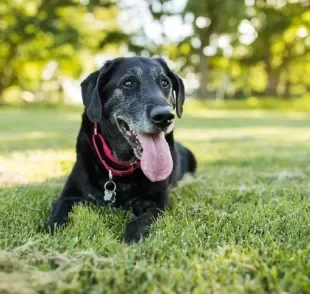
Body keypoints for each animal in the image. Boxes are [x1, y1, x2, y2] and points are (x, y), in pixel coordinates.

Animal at [48, 56, 196, 242]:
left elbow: (140, 221)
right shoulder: (69, 194)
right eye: (128, 83)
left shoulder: (158, 204)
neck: (122, 166)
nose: (165, 117)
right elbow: (58, 215)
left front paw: (130, 240)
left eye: (165, 83)